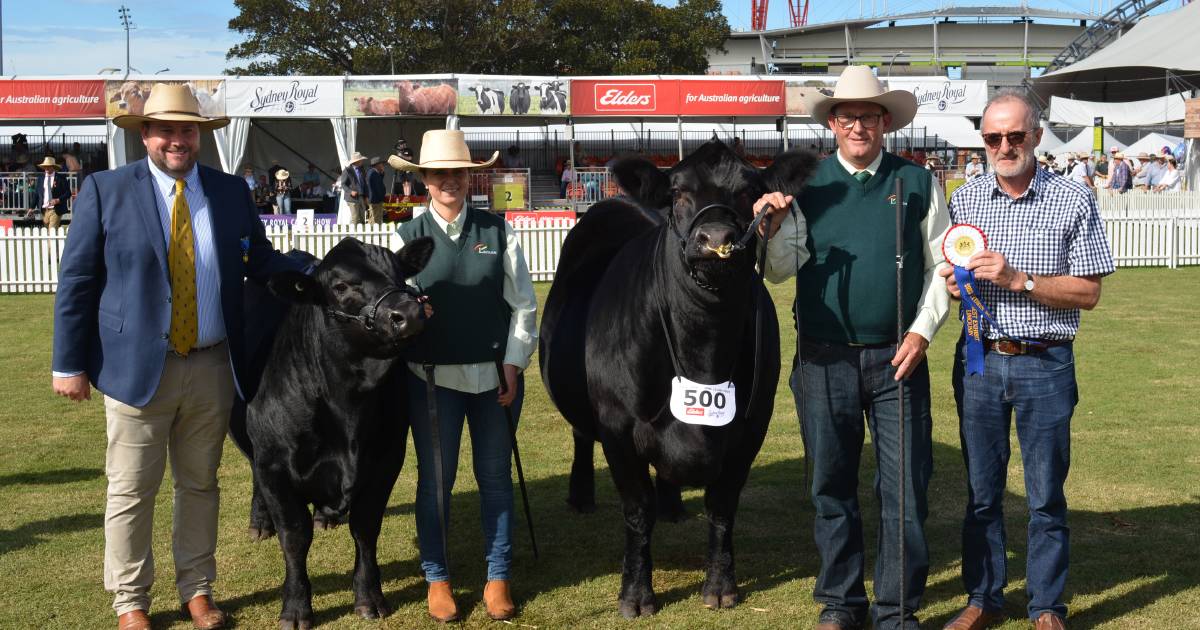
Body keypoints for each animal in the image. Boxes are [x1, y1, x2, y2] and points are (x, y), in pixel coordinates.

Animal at [226, 237, 434, 628]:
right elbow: (295, 536)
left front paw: (370, 598)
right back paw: (260, 523)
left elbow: (365, 528)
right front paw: (295, 609)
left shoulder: (387, 459)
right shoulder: (274, 465)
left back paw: (326, 516)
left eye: (400, 273)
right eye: (339, 287)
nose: (409, 313)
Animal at [542, 139, 816, 614]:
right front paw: (635, 596)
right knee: (580, 436)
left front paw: (721, 587)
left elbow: (722, 506)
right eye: (678, 192)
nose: (717, 240)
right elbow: (637, 510)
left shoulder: (752, 425)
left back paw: (672, 505)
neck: (701, 347)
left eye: (750, 192)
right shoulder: (617, 426)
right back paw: (581, 496)